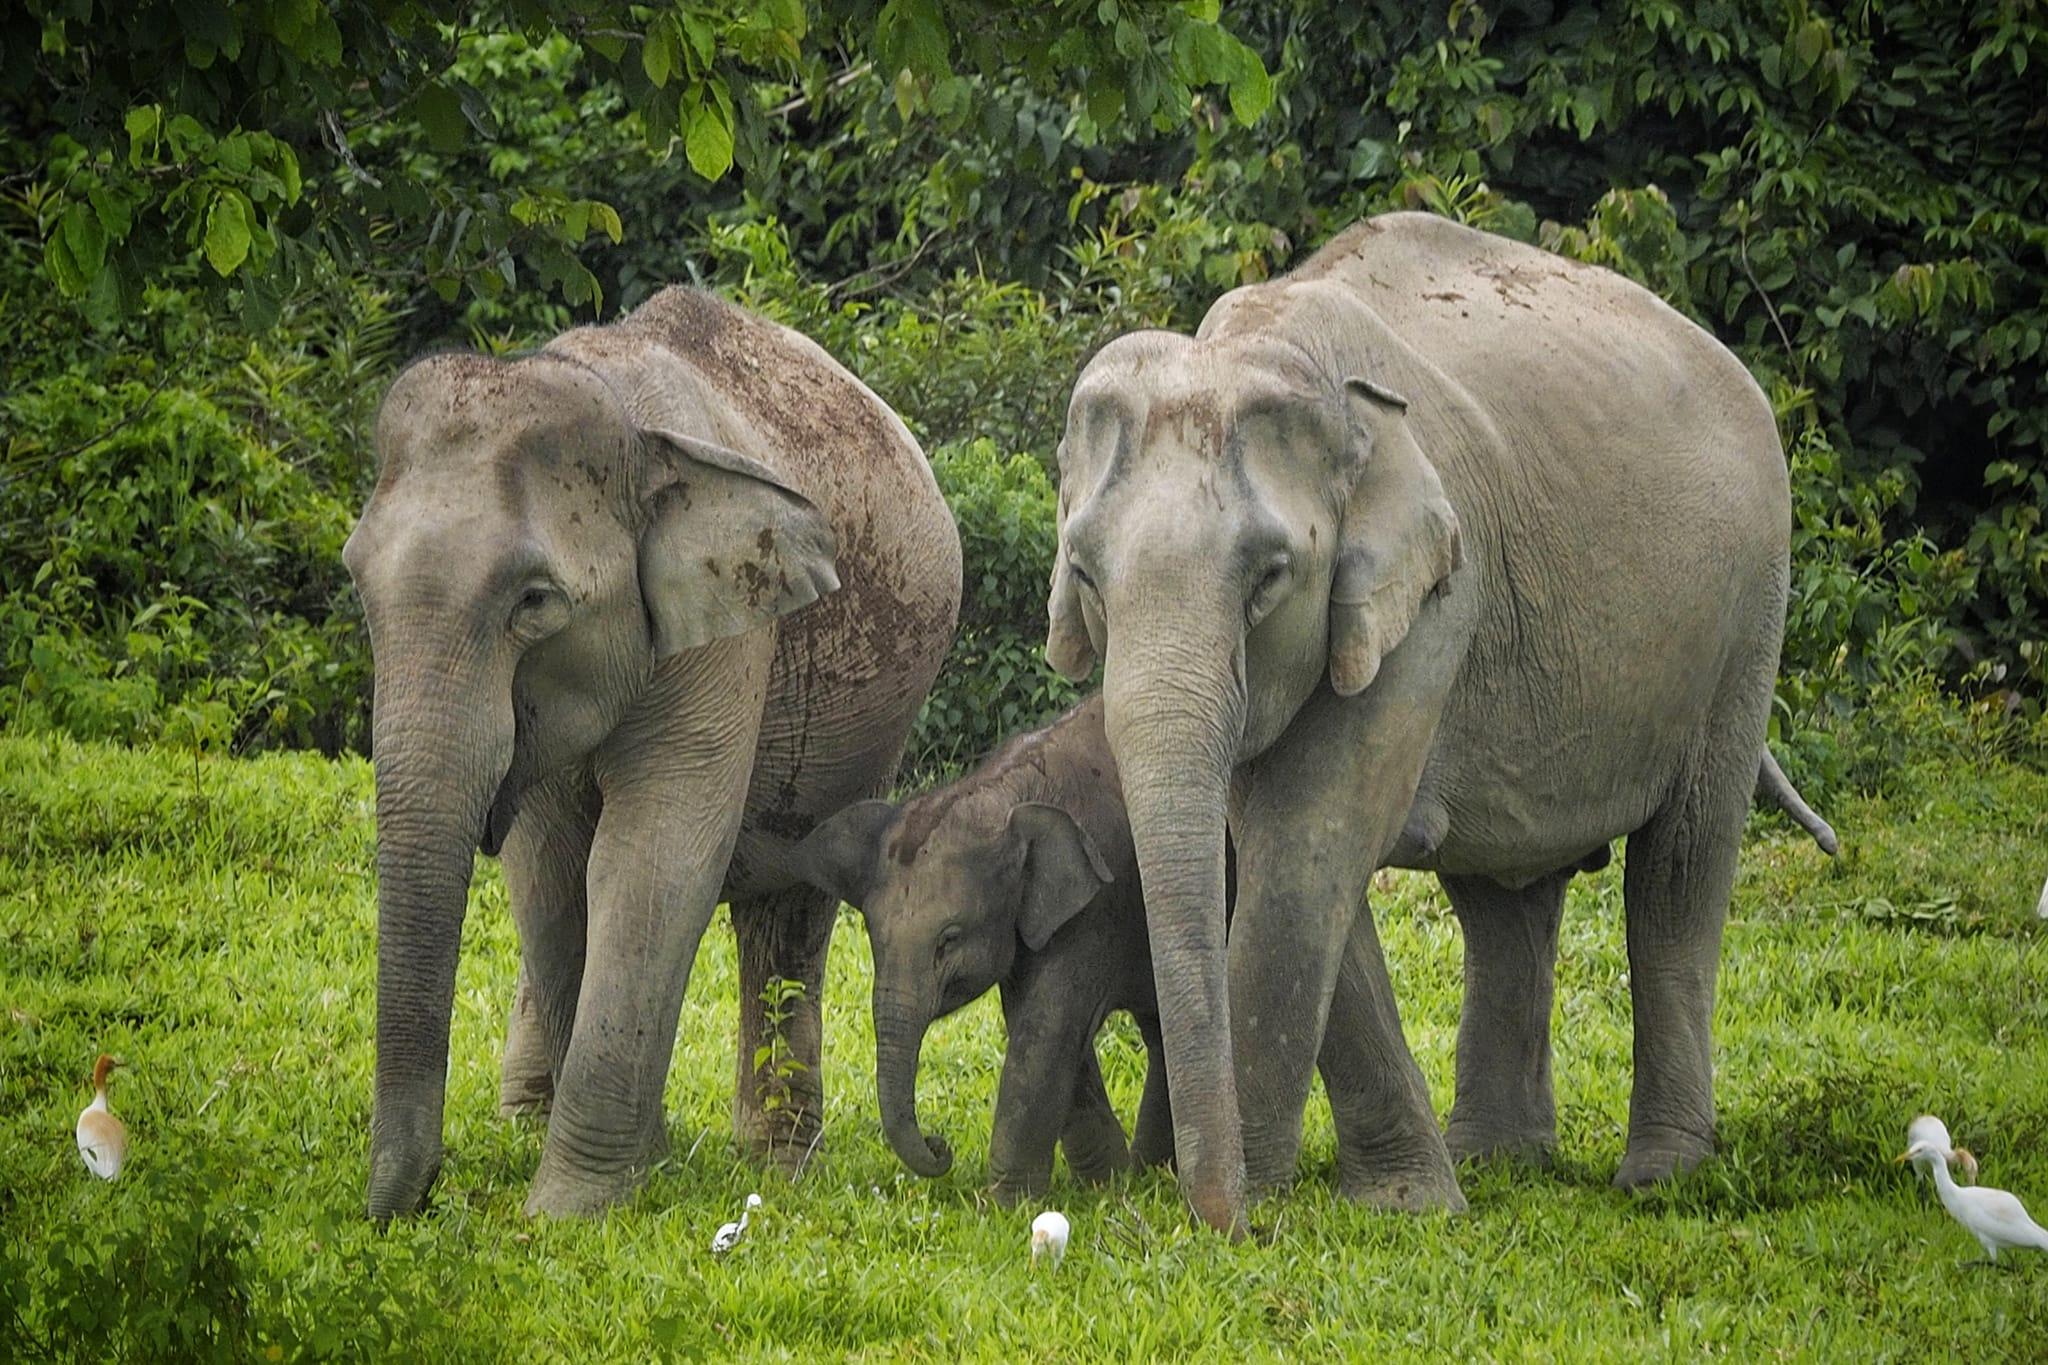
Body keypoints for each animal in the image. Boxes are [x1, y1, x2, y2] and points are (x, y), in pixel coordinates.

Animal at [344, 286, 961, 1218]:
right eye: (355, 579)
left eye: (534, 601)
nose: (406, 1209)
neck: (622, 417)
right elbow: (550, 871)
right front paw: (634, 1163)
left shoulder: (729, 623)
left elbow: (650, 858)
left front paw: (569, 1211)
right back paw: (535, 1119)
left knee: (792, 904)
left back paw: (778, 1162)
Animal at [1044, 211, 1823, 1232]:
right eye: (1086, 575)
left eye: (1269, 580)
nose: (1211, 1211)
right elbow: (1295, 851)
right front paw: (1409, 1203)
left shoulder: (1436, 591)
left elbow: (1309, 841)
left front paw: (1335, 1202)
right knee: (1505, 900)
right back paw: (1501, 1160)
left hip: (1746, 617)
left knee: (1680, 873)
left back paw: (1662, 1178)